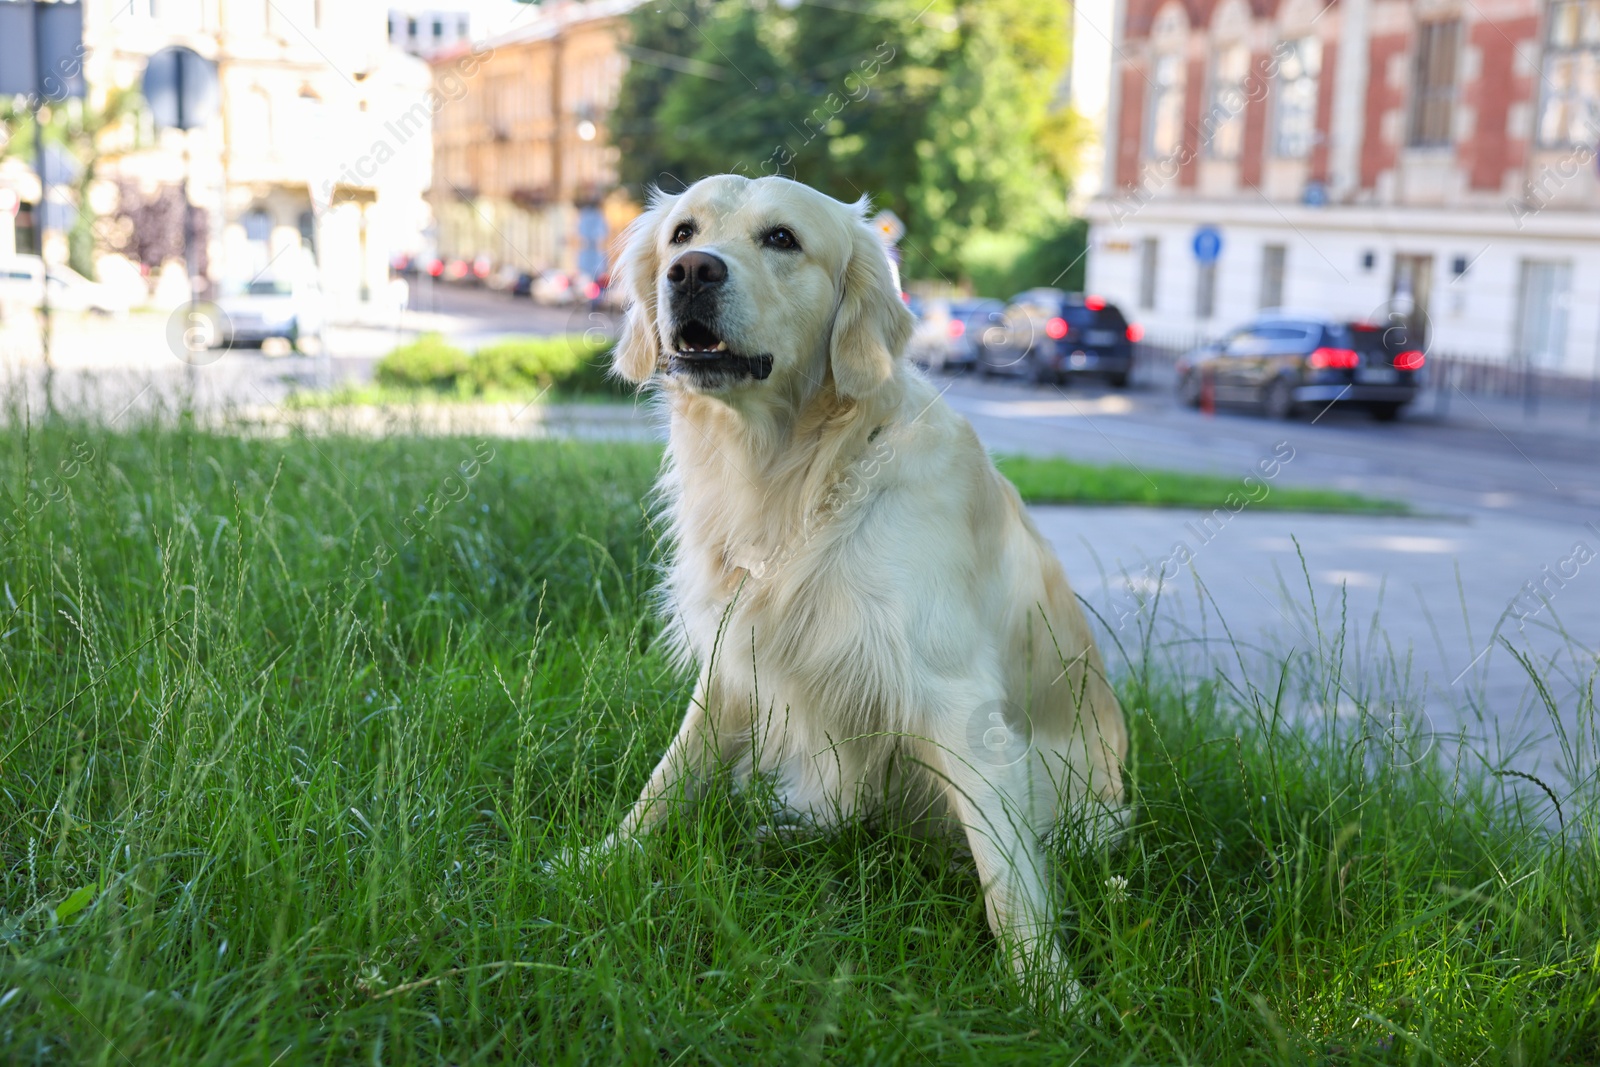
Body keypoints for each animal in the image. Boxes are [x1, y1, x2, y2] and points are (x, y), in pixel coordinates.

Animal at [595, 173, 1132, 1004]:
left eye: (782, 238)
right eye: (683, 233)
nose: (690, 273)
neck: (796, 472)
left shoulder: (956, 697)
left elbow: (1006, 871)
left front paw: (1047, 989)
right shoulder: (735, 658)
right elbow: (669, 775)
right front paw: (597, 860)